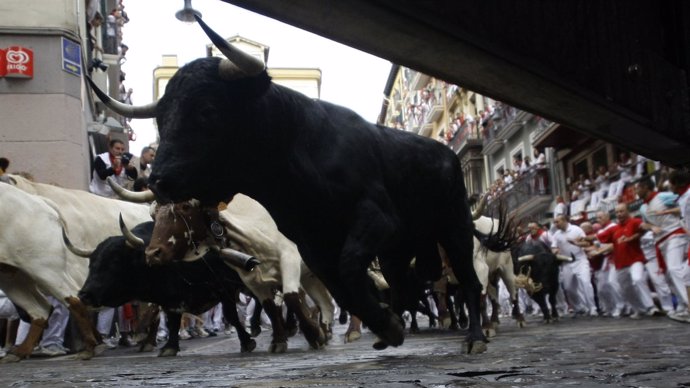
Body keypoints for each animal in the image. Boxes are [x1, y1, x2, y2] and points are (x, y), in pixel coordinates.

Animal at [88, 17, 506, 352]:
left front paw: (382, 324)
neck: (294, 158)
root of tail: (445, 152)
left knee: (469, 283)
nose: (158, 180)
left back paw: (475, 337)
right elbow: (342, 289)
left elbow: (349, 269)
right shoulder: (312, 245)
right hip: (400, 249)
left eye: (206, 110)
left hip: (454, 226)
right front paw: (384, 324)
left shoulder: (375, 219)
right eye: (162, 118)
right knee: (411, 280)